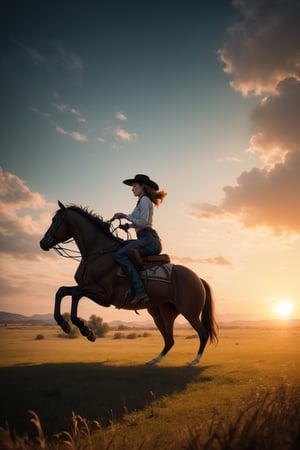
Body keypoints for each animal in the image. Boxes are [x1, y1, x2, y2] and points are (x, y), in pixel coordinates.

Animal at [39, 202, 218, 364]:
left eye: (55, 220)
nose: (42, 243)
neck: (98, 253)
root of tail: (198, 279)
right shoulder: (89, 288)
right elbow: (62, 291)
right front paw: (63, 324)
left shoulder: (103, 294)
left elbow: (75, 294)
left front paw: (86, 330)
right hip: (162, 313)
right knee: (169, 340)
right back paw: (155, 360)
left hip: (189, 312)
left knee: (203, 334)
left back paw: (194, 361)